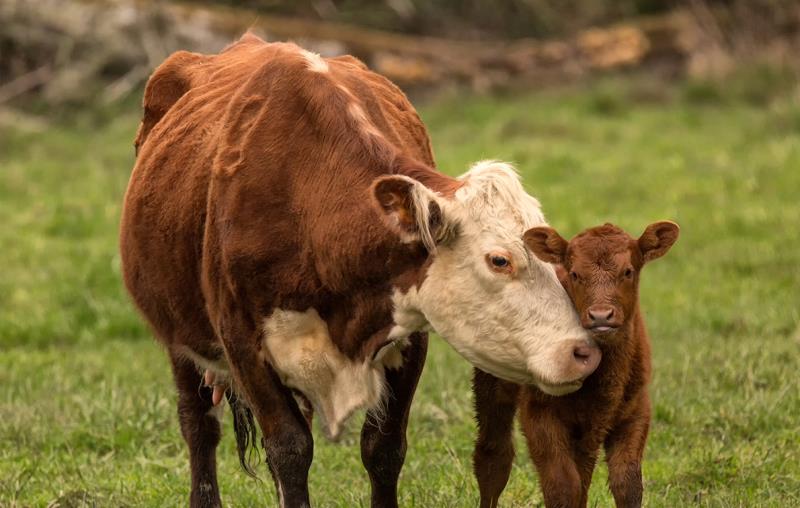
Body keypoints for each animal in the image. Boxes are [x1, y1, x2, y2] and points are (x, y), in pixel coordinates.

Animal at [120, 33, 600, 506]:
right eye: (499, 260)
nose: (584, 352)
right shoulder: (242, 342)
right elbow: (289, 450)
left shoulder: (410, 335)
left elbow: (382, 448)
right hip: (179, 337)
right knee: (198, 423)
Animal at [472, 221, 680, 508]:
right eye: (574, 274)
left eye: (628, 271)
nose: (601, 315)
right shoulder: (539, 412)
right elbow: (563, 486)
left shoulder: (636, 410)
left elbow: (627, 484)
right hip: (491, 382)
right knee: (494, 457)